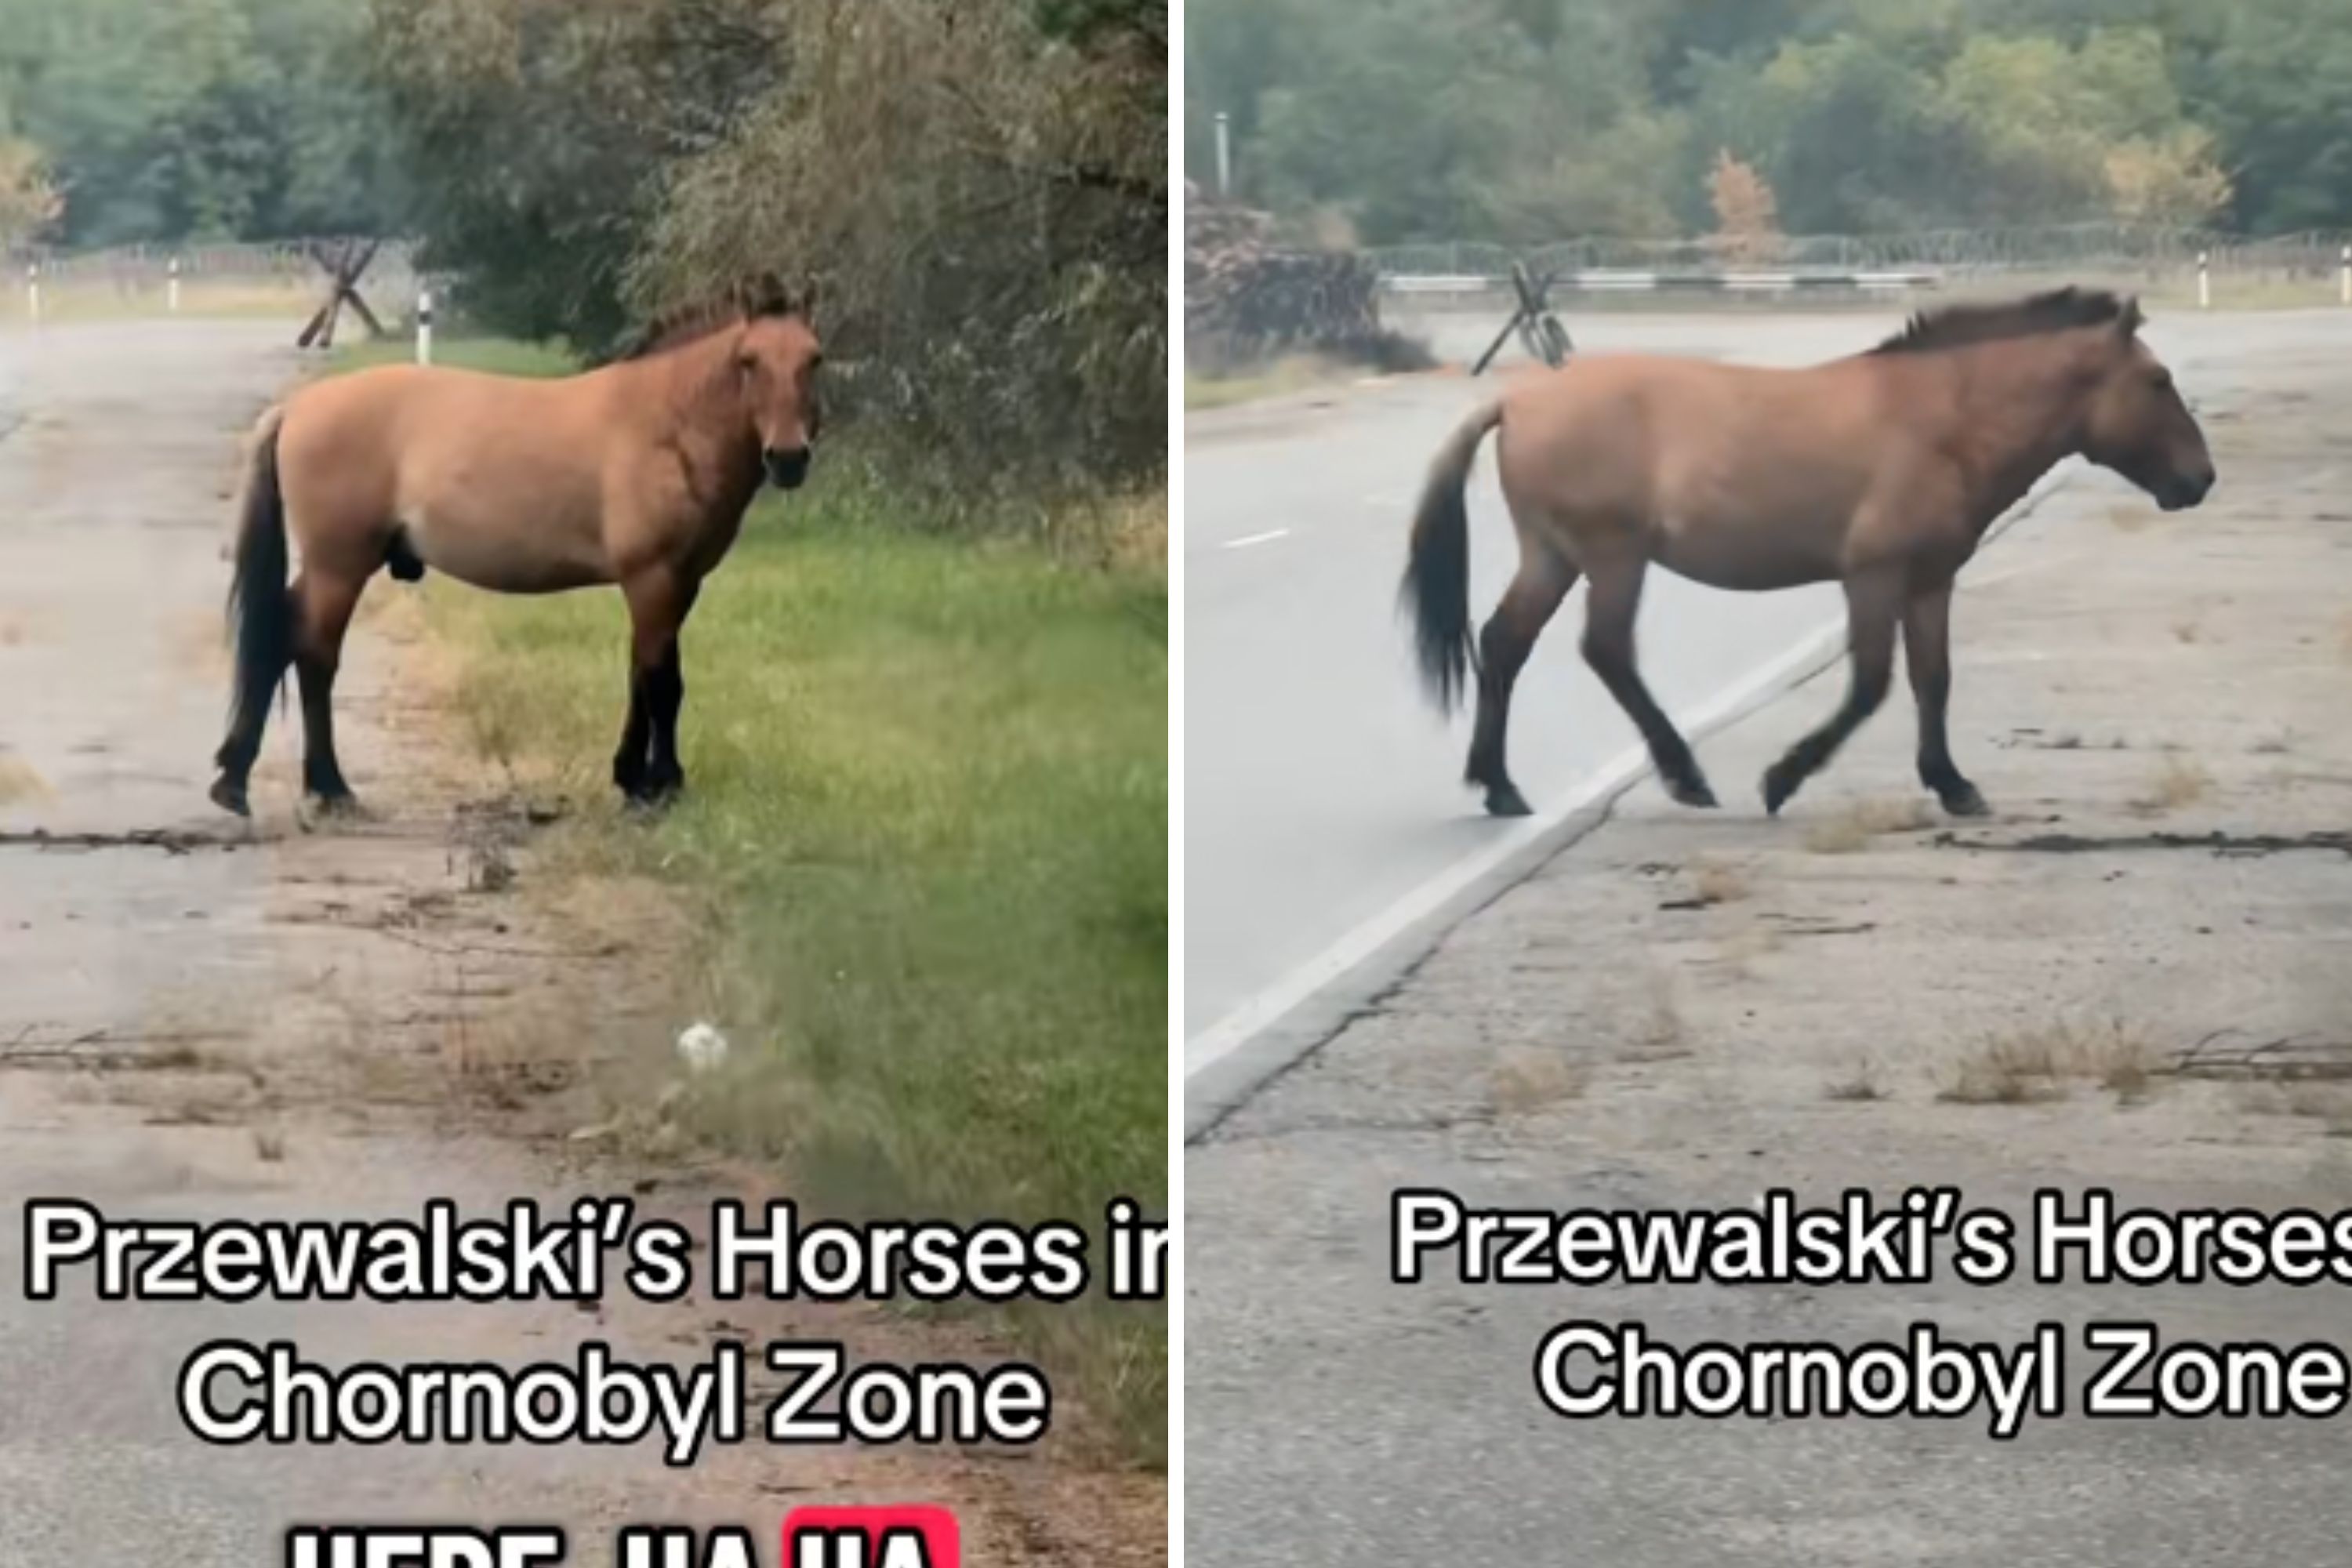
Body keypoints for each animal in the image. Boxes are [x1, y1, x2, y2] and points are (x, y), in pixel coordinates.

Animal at [210, 274, 823, 817]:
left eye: (813, 359)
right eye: (750, 361)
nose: (789, 458)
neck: (664, 425)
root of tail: (297, 408)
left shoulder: (679, 583)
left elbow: (640, 675)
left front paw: (631, 778)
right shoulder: (653, 577)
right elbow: (662, 682)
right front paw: (663, 787)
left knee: (284, 638)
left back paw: (242, 779)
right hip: (339, 567)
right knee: (313, 653)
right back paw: (325, 787)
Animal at [1402, 289, 2214, 822]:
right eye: (2157, 380)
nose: (2200, 478)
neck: (1942, 419)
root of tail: (1520, 401)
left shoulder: (1930, 581)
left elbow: (1933, 680)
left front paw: (1952, 783)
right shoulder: (1873, 577)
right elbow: (1870, 685)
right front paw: (1783, 779)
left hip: (1553, 556)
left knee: (1503, 643)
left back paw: (1500, 786)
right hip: (1613, 558)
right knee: (1604, 650)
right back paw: (1683, 775)